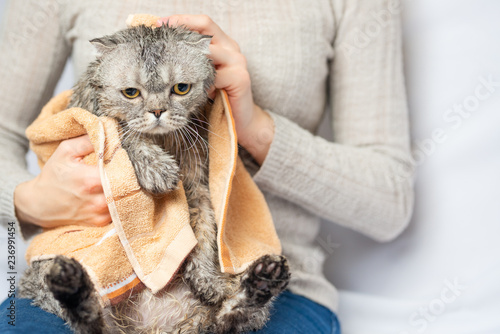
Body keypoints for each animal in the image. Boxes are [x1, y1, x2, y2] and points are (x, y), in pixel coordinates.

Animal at [19, 24, 292, 334]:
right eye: (131, 93)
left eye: (181, 88)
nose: (158, 112)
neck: (164, 141)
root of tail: (150, 328)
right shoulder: (91, 119)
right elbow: (121, 130)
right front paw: (156, 165)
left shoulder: (199, 186)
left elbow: (204, 231)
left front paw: (206, 279)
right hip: (50, 266)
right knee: (91, 322)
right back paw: (72, 285)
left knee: (228, 320)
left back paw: (263, 280)